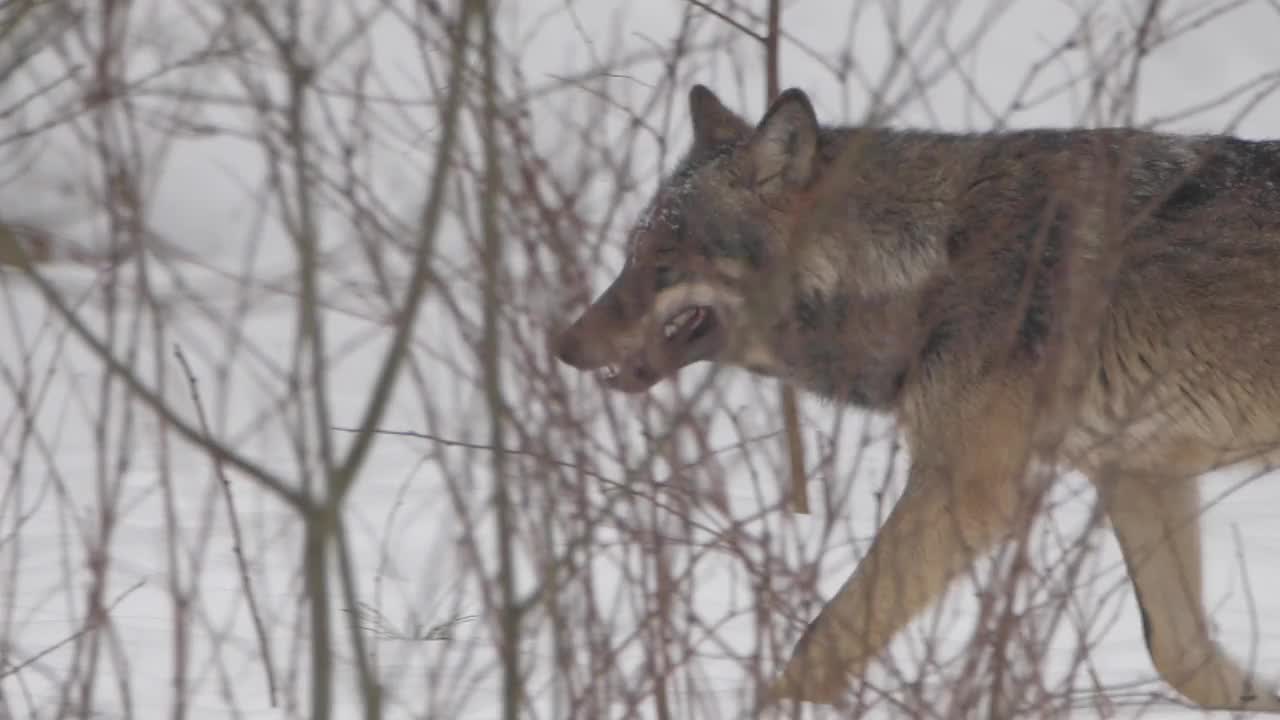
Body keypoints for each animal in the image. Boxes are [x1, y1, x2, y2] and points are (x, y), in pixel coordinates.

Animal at [555, 81, 1280, 707]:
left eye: (664, 262)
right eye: (632, 251)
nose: (563, 346)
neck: (931, 262)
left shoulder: (964, 490)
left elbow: (825, 635)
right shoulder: (1138, 472)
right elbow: (1180, 651)